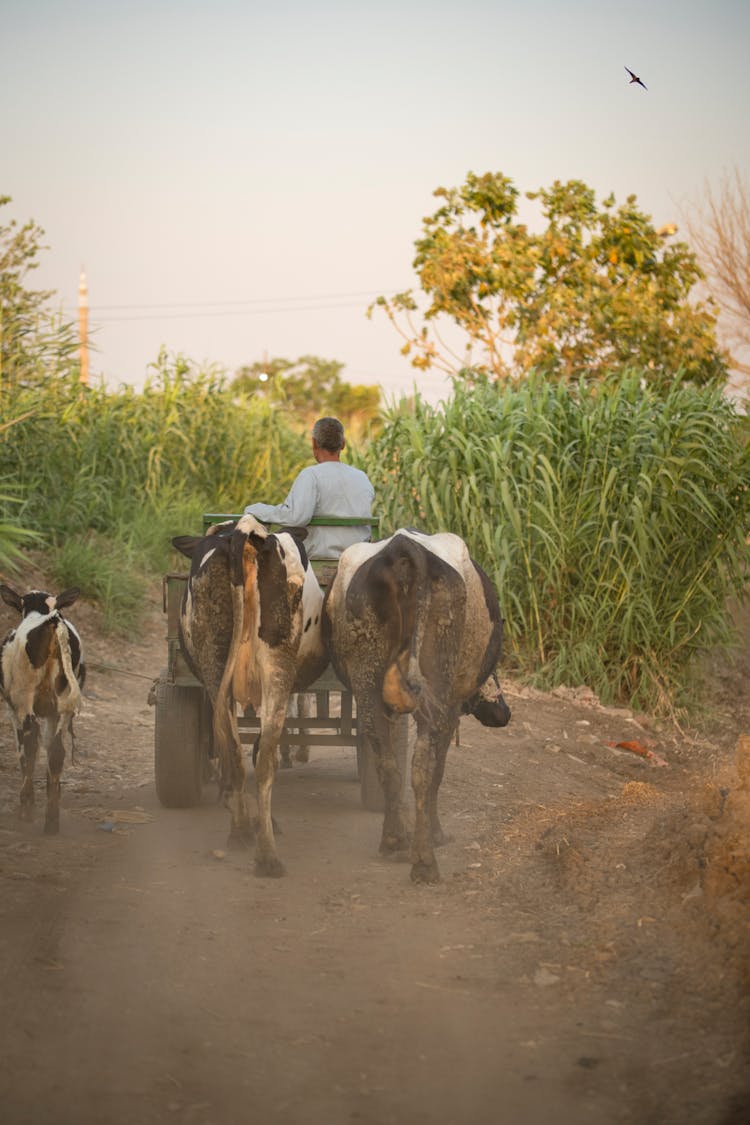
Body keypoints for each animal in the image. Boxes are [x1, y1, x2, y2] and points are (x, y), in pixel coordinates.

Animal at [0, 589, 86, 837]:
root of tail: (53, 622)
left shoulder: (13, 709)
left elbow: (23, 749)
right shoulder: (52, 712)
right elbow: (49, 749)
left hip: (24, 697)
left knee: (30, 742)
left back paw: (27, 808)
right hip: (64, 704)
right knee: (57, 751)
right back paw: (52, 819)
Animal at [174, 515, 330, 873]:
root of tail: (244, 530)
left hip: (215, 665)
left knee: (233, 751)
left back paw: (243, 833)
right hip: (277, 670)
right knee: (264, 757)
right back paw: (266, 850)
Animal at [323, 528, 510, 886]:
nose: (500, 712)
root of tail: (404, 548)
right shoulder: (450, 706)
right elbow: (437, 770)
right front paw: (437, 833)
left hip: (367, 682)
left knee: (386, 761)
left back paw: (395, 839)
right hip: (436, 679)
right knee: (423, 766)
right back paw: (424, 859)